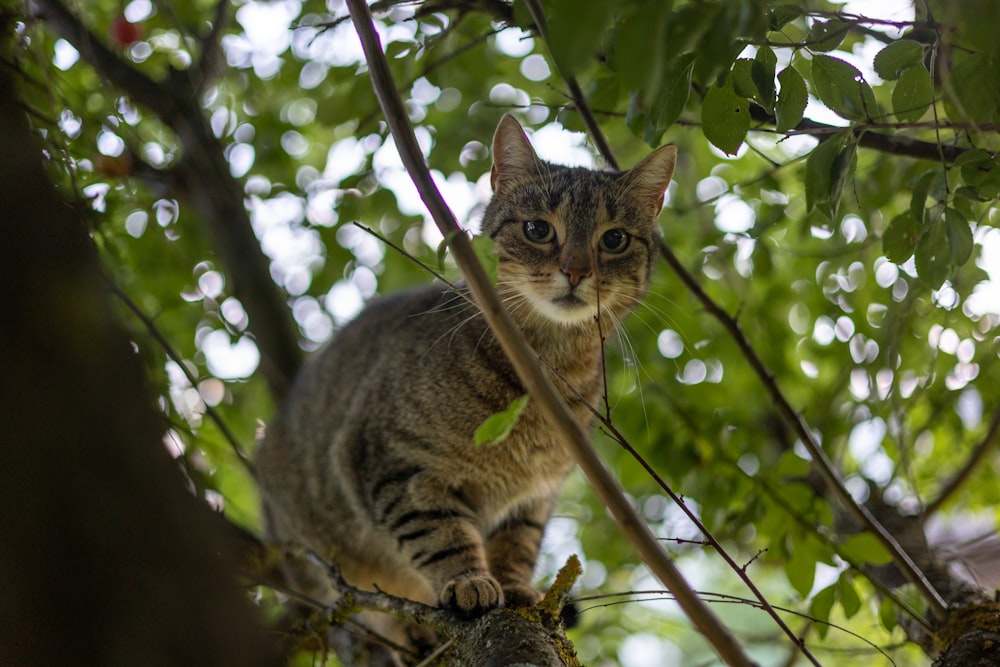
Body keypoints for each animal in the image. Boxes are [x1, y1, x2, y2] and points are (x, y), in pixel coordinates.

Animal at [256, 113, 680, 656]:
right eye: (538, 229)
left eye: (614, 240)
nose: (576, 270)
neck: (547, 366)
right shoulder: (395, 465)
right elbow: (439, 533)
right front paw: (468, 580)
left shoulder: (533, 497)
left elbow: (517, 544)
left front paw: (515, 584)